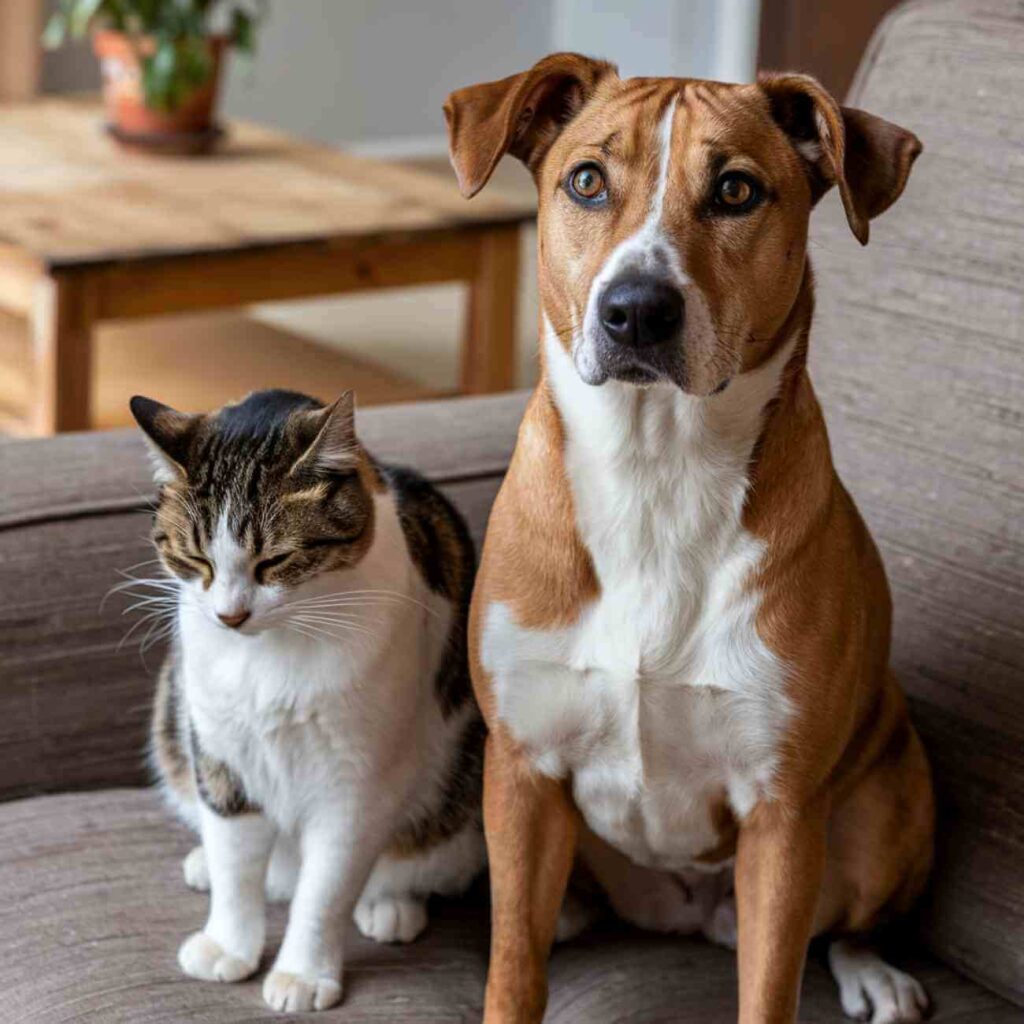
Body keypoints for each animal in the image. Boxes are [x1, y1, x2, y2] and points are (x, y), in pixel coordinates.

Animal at [130, 387, 485, 1011]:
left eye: (273, 560)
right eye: (197, 560)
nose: (229, 616)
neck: (269, 657)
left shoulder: (356, 784)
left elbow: (324, 892)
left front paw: (302, 974)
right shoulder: (220, 752)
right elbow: (236, 862)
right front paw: (228, 945)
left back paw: (390, 906)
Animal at [448, 54, 937, 1024]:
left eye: (737, 190)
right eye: (587, 181)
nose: (637, 311)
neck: (655, 473)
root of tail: (680, 912)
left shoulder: (782, 815)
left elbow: (773, 985)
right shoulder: (521, 773)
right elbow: (514, 968)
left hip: (889, 809)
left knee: (848, 925)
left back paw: (876, 972)